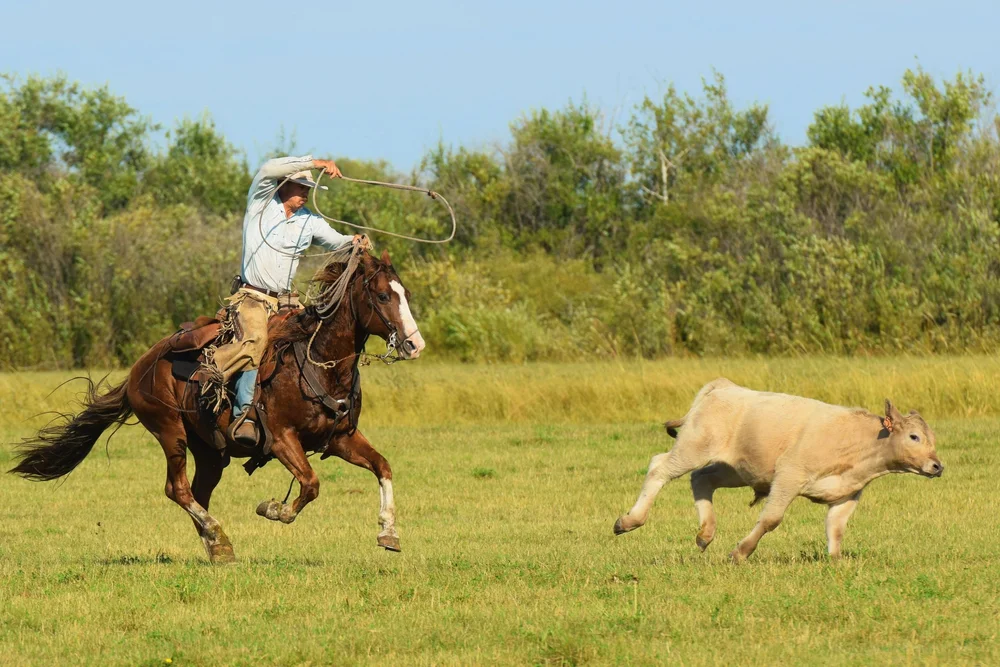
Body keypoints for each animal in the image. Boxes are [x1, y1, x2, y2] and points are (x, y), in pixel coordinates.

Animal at [9, 247, 425, 563]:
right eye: (383, 296)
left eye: (405, 293)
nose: (414, 344)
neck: (317, 361)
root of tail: (139, 369)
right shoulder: (282, 440)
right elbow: (310, 484)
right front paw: (273, 509)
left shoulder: (339, 439)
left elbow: (382, 467)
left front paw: (389, 533)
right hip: (171, 433)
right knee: (177, 489)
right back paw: (216, 536)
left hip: (209, 451)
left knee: (198, 492)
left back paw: (217, 545)